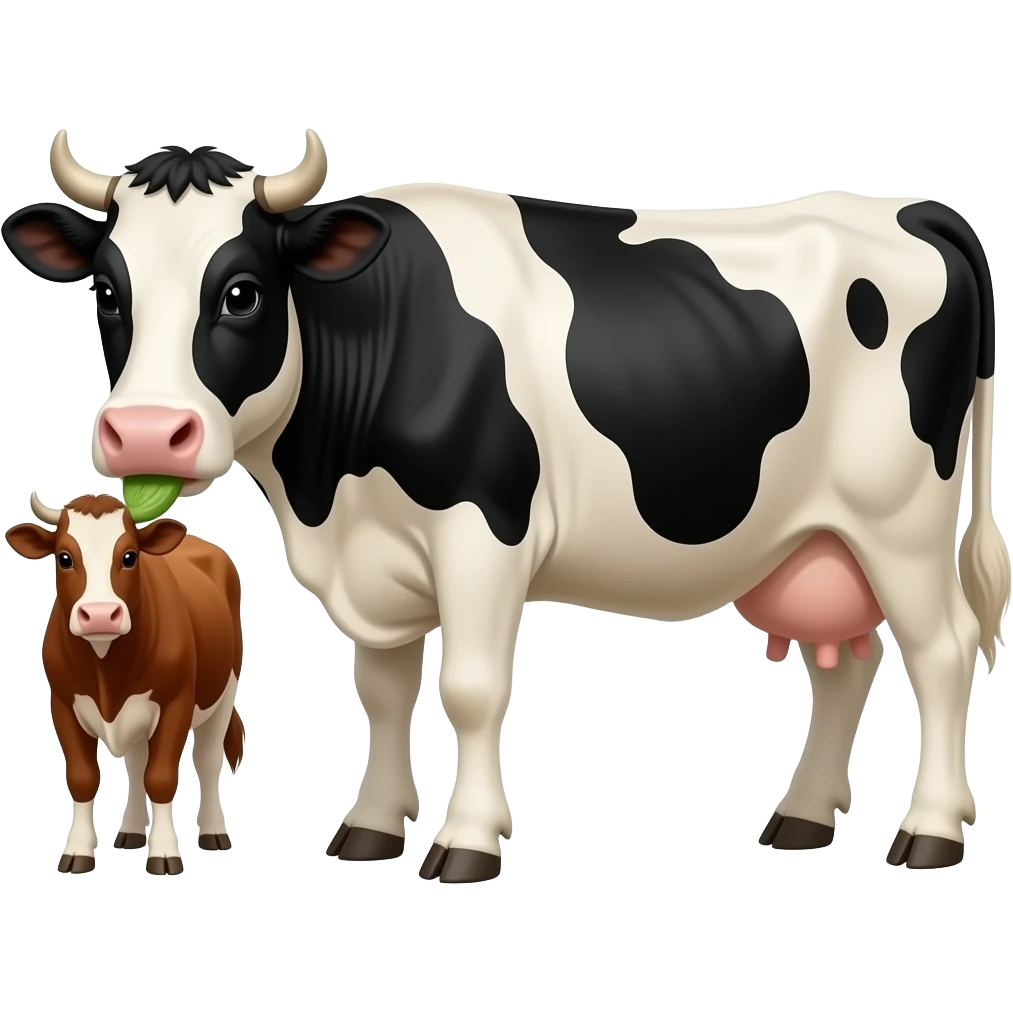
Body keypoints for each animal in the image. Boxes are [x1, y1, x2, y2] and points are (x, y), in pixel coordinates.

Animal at [3, 491, 246, 877]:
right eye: (64, 558)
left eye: (130, 556)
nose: (101, 615)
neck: (107, 671)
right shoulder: (63, 705)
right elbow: (84, 778)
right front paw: (77, 853)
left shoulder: (175, 703)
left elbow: (160, 778)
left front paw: (165, 854)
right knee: (135, 763)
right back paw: (130, 833)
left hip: (224, 693)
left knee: (207, 761)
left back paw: (213, 834)